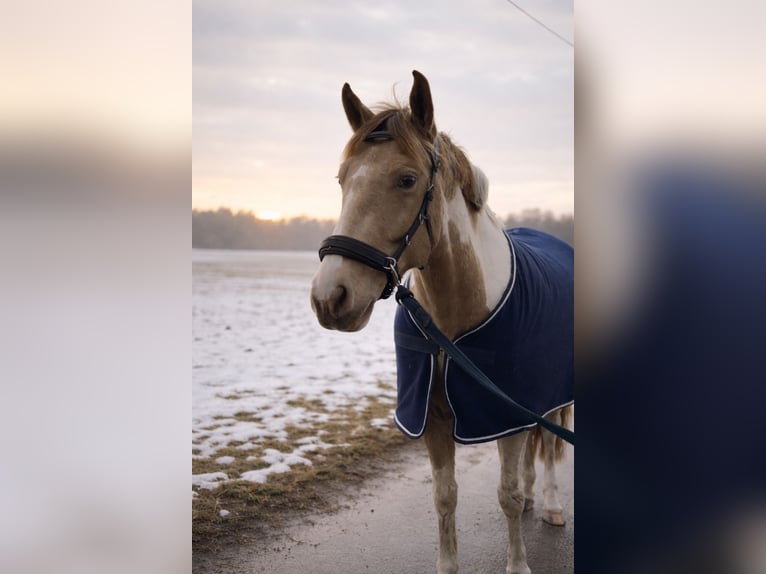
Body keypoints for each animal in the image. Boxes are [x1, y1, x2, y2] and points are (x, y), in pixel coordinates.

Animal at [310, 70, 573, 574]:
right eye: (341, 179)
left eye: (406, 179)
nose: (330, 297)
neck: (451, 327)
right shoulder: (432, 419)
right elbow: (445, 497)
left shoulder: (505, 413)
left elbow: (506, 495)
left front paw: (518, 564)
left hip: (551, 399)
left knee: (550, 447)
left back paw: (550, 504)